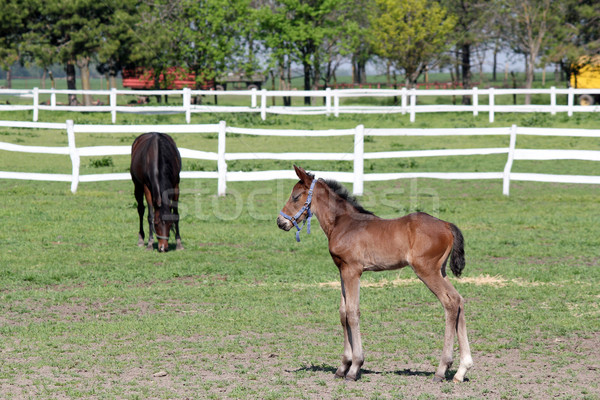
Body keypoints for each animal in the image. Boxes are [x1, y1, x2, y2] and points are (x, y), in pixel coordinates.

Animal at [278, 165, 474, 382]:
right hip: (440, 271)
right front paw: (343, 366)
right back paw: (461, 370)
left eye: (295, 196)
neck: (343, 224)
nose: (280, 222)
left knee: (450, 302)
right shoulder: (342, 270)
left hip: (427, 270)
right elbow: (343, 313)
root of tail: (447, 225)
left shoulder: (353, 270)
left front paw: (354, 367)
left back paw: (442, 369)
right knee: (459, 300)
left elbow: (353, 313)